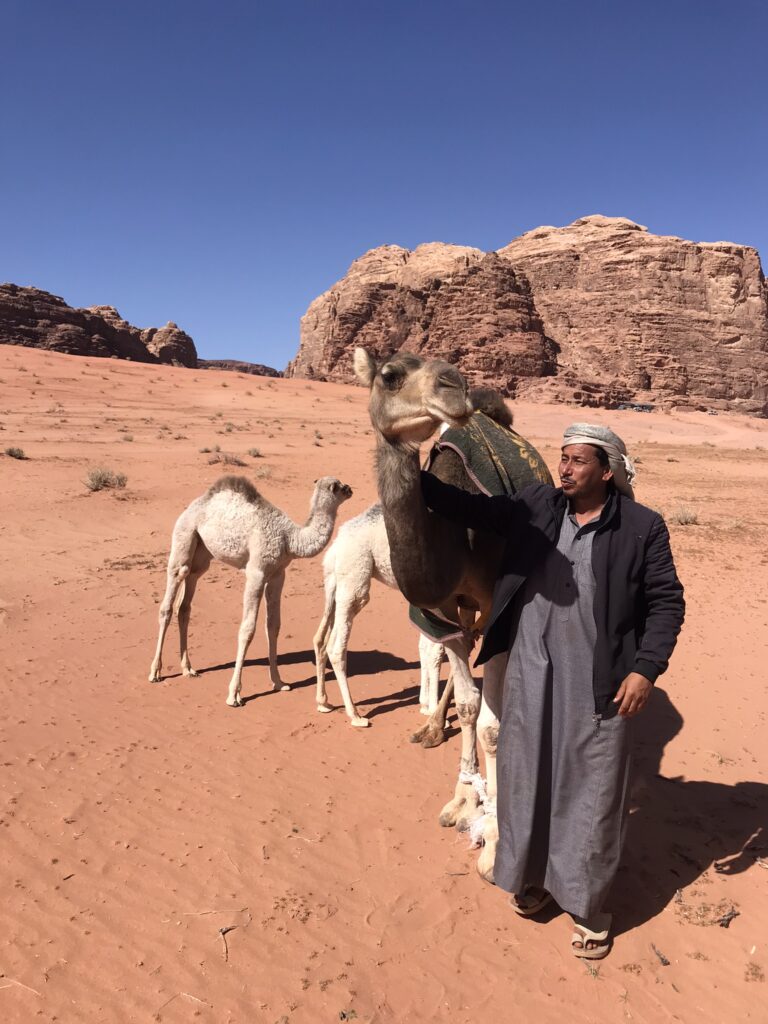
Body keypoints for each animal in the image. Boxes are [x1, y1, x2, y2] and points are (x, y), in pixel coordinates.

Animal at [149, 474, 352, 707]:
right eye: (339, 486)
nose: (350, 489)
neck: (288, 538)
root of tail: (193, 505)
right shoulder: (256, 572)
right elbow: (247, 629)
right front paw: (234, 694)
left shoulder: (278, 575)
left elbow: (273, 626)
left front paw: (279, 682)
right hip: (184, 535)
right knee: (170, 595)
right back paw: (155, 672)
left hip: (201, 555)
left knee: (185, 602)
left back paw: (188, 668)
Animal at [313, 503, 447, 728]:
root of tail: (336, 547)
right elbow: (435, 649)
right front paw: (435, 713)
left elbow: (426, 645)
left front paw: (426, 705)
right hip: (355, 579)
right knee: (336, 647)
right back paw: (355, 715)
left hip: (335, 585)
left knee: (321, 639)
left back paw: (323, 702)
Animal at [354, 348, 552, 881]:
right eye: (389, 375)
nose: (453, 384)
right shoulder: (444, 611)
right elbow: (468, 707)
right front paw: (463, 800)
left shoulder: (498, 606)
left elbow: (492, 726)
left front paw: (496, 840)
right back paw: (429, 729)